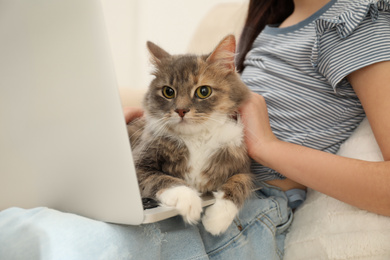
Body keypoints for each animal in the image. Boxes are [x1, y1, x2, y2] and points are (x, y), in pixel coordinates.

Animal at [129, 34, 253, 236]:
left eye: (203, 91)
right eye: (168, 92)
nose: (181, 110)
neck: (197, 138)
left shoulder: (244, 167)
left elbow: (238, 183)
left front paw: (216, 219)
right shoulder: (138, 163)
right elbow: (165, 179)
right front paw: (189, 201)